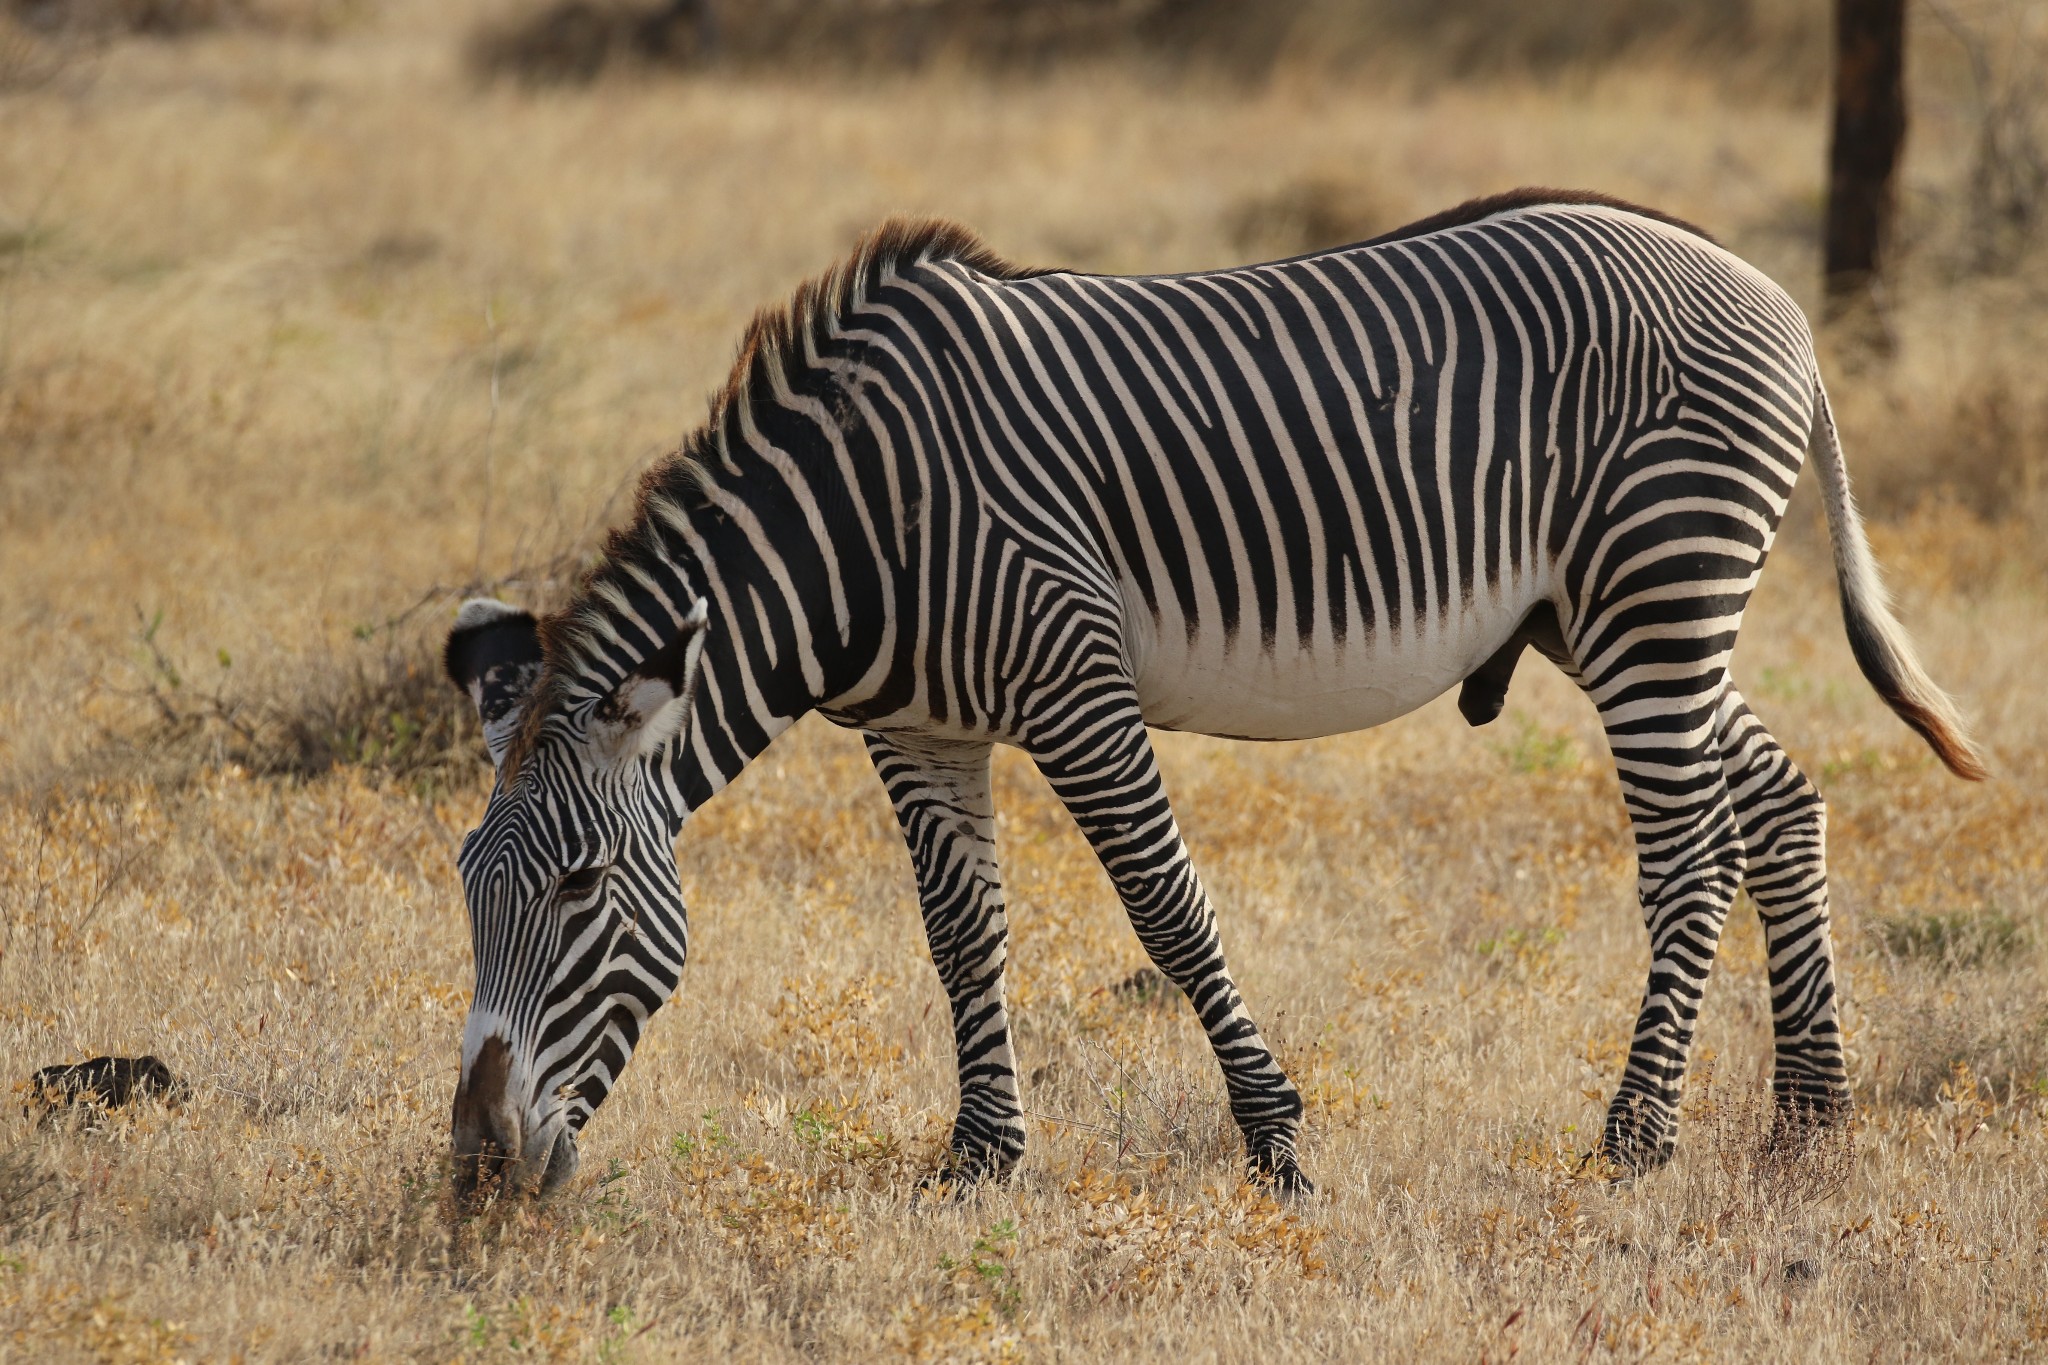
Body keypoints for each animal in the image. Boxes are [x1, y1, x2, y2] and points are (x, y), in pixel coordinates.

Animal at [436, 189, 1982, 1195]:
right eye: (465, 883)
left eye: (577, 887)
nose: (477, 1170)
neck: (861, 523)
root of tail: (1765, 289)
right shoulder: (916, 728)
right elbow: (959, 937)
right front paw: (979, 1158)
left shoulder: (1074, 682)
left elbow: (1169, 914)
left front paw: (1275, 1139)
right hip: (1603, 615)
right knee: (1776, 798)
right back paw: (1809, 1117)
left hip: (1658, 584)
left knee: (1684, 854)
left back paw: (1637, 1140)